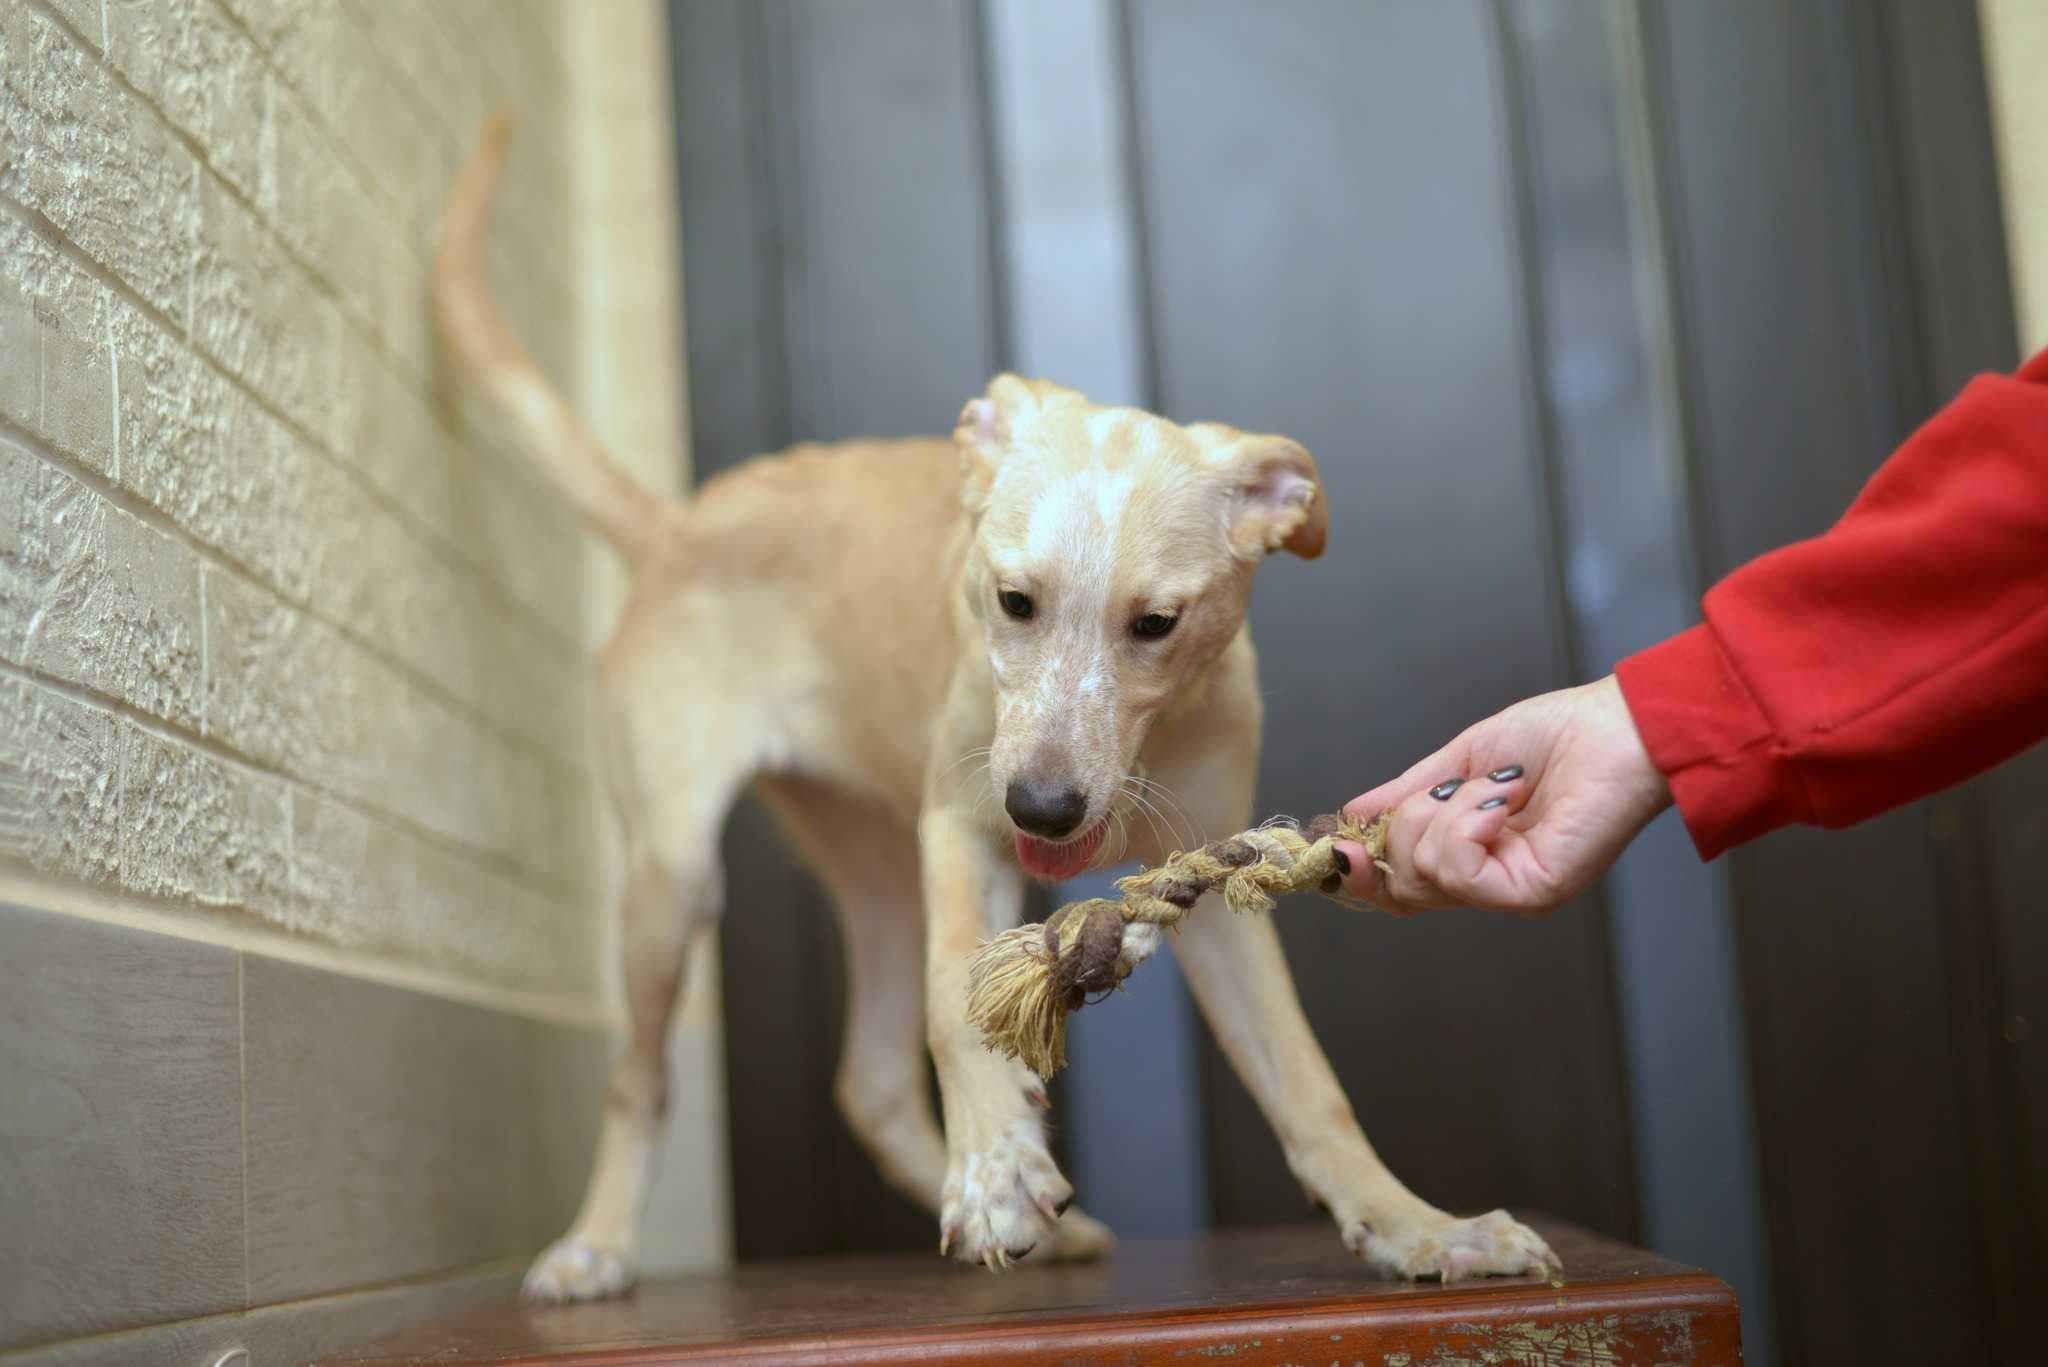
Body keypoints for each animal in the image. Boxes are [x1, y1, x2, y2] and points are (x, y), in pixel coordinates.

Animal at [432, 120, 1548, 1303]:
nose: (1045, 809)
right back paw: (598, 1244)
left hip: (878, 861)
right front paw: (997, 1168)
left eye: (1157, 623)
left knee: (871, 1073)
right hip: (680, 873)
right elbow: (953, 991)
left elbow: (1307, 1079)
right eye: (1013, 600)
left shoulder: (1207, 874)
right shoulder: (964, 824)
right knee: (644, 1073)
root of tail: (675, 527)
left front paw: (1420, 1227)